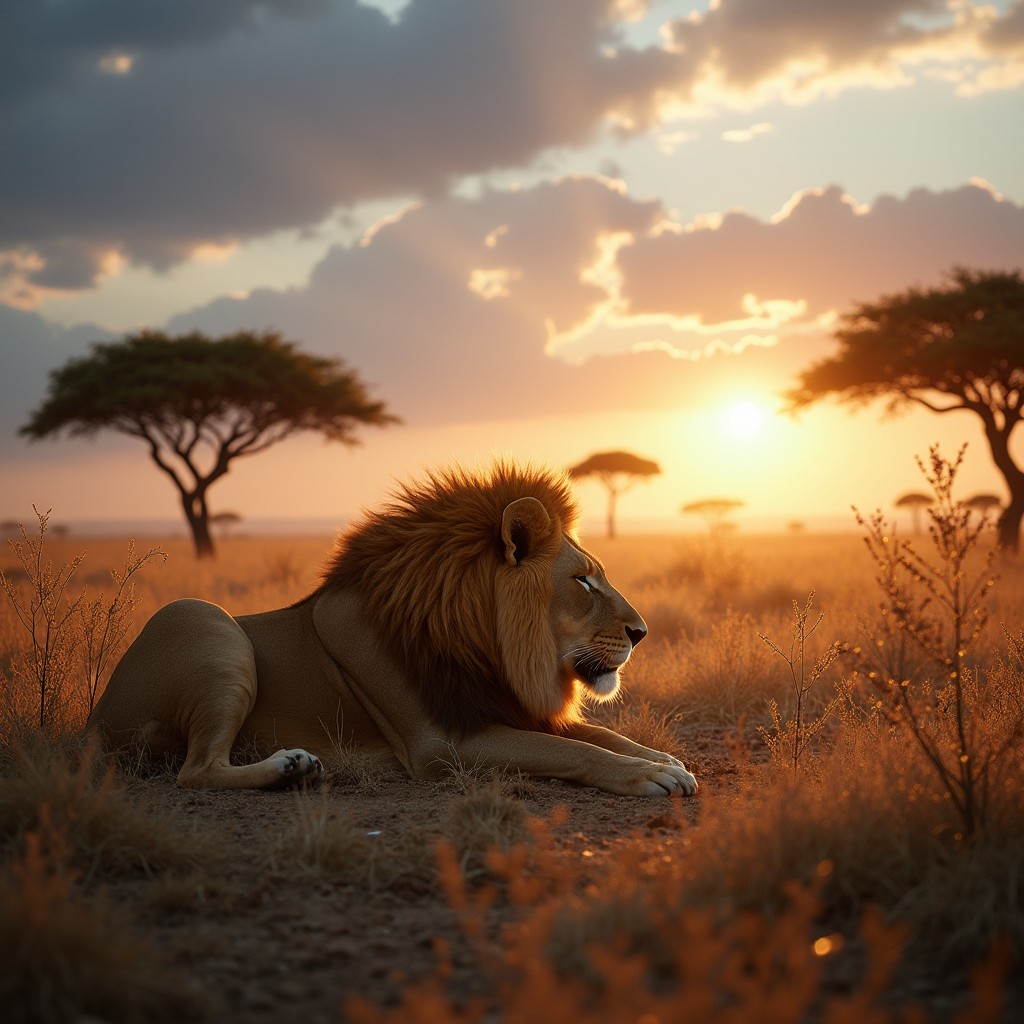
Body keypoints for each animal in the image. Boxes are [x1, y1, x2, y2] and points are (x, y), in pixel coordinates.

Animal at [87, 462, 697, 798]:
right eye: (583, 581)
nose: (642, 632)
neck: (488, 644)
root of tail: (95, 717)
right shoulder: (442, 744)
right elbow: (571, 750)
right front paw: (650, 776)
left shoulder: (501, 704)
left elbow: (598, 734)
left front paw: (667, 760)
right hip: (205, 622)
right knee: (195, 772)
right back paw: (288, 769)